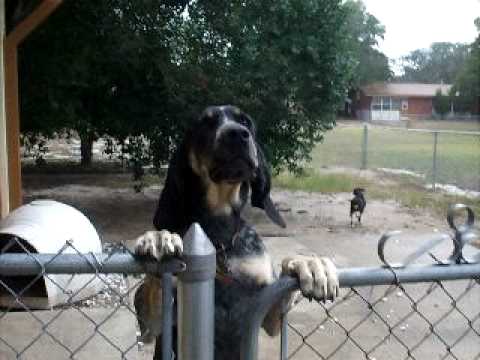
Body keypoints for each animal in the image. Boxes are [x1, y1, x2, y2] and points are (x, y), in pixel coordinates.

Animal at [133, 105, 340, 358]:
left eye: (246, 122)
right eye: (205, 123)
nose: (238, 134)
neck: (222, 237)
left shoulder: (266, 313)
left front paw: (310, 264)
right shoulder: (152, 327)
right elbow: (151, 292)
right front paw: (159, 237)